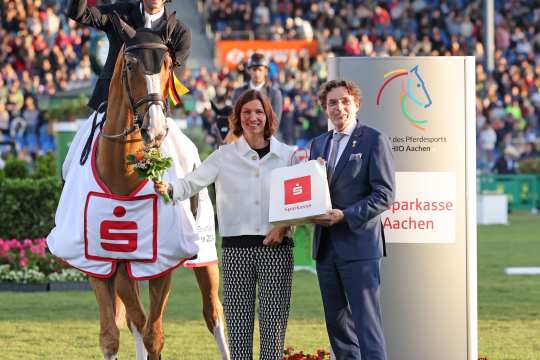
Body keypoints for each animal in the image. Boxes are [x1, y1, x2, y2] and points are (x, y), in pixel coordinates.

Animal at [48, 13, 221, 360]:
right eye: (129, 65)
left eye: (168, 63)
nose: (154, 128)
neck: (122, 174)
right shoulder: (99, 263)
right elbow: (113, 334)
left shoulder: (162, 262)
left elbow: (154, 334)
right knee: (133, 319)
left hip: (204, 253)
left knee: (214, 313)